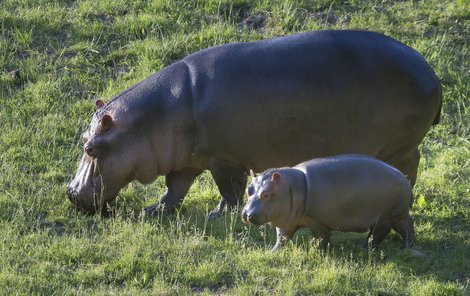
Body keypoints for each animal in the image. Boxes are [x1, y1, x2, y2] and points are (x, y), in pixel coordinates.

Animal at [65, 30, 440, 217]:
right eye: (83, 139)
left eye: (90, 147)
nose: (69, 192)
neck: (155, 117)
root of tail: (431, 73)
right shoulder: (187, 159)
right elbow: (174, 188)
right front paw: (152, 210)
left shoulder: (223, 158)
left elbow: (228, 189)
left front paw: (218, 215)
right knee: (414, 160)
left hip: (393, 147)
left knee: (408, 164)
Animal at [242, 155, 414, 250]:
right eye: (248, 190)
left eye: (265, 194)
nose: (245, 214)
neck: (292, 186)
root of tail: (403, 177)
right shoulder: (287, 221)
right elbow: (282, 238)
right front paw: (273, 251)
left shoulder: (316, 220)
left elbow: (321, 237)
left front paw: (316, 250)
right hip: (396, 214)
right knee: (407, 225)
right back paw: (406, 245)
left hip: (384, 217)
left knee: (378, 234)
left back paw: (365, 248)